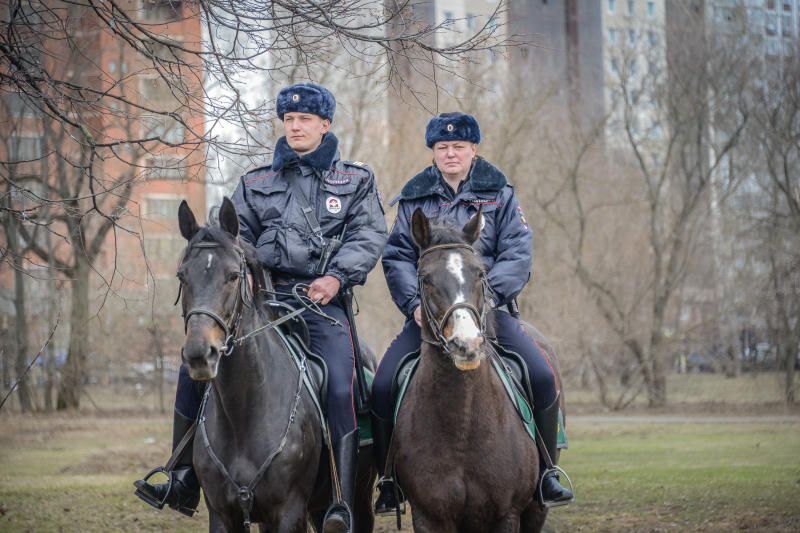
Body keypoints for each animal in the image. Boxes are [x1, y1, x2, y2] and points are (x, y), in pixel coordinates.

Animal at [175, 197, 376, 528]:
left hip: (357, 498)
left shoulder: (288, 512)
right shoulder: (222, 514)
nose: (199, 354)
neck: (244, 411)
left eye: (233, 275)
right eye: (182, 276)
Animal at [390, 208, 556, 532]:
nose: (465, 343)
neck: (462, 428)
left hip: (535, 510)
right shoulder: (429, 516)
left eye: (480, 273)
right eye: (425, 278)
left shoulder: (507, 514)